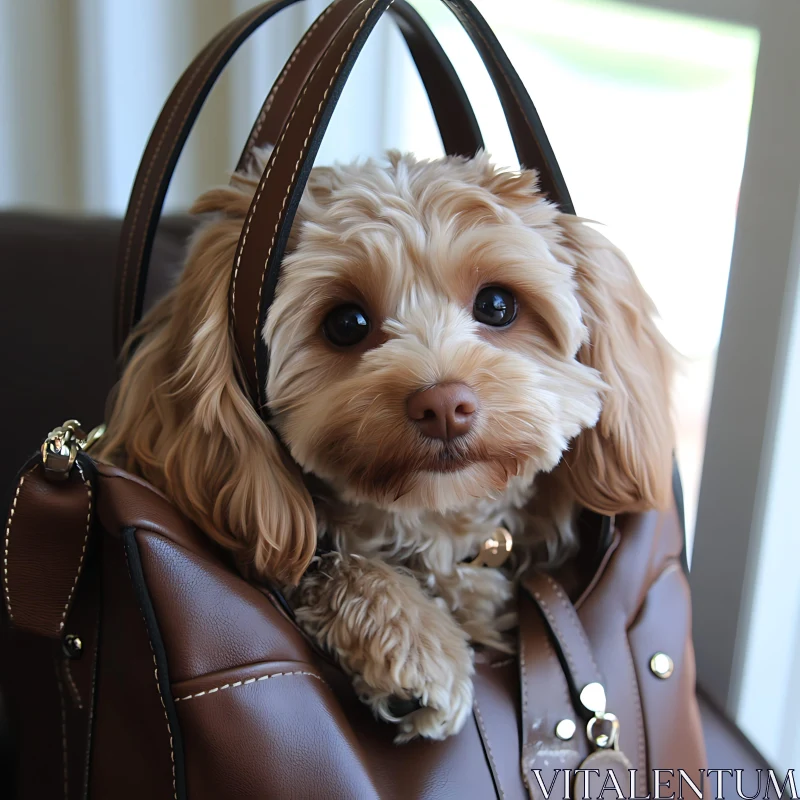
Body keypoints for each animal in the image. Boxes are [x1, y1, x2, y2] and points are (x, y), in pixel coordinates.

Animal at [100, 148, 676, 744]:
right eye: (346, 323)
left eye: (497, 305)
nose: (444, 405)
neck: (437, 528)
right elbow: (335, 563)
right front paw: (419, 643)